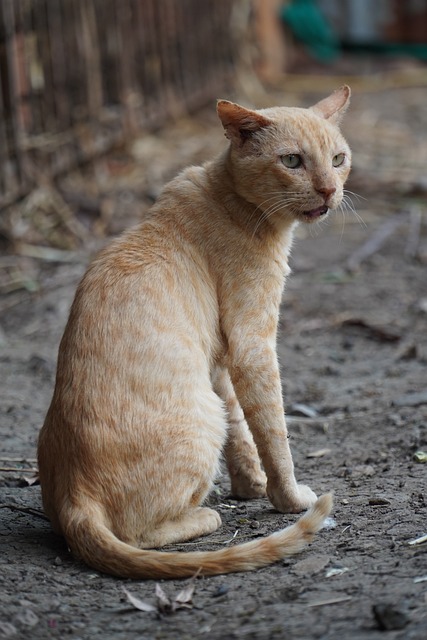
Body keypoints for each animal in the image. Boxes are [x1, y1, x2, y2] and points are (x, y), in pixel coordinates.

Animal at [37, 85, 352, 580]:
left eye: (338, 159)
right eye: (293, 161)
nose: (329, 190)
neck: (233, 201)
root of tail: (73, 500)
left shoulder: (220, 360)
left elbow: (242, 428)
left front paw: (251, 485)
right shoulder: (253, 344)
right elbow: (274, 431)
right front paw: (289, 498)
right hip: (202, 422)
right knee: (138, 535)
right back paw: (205, 515)